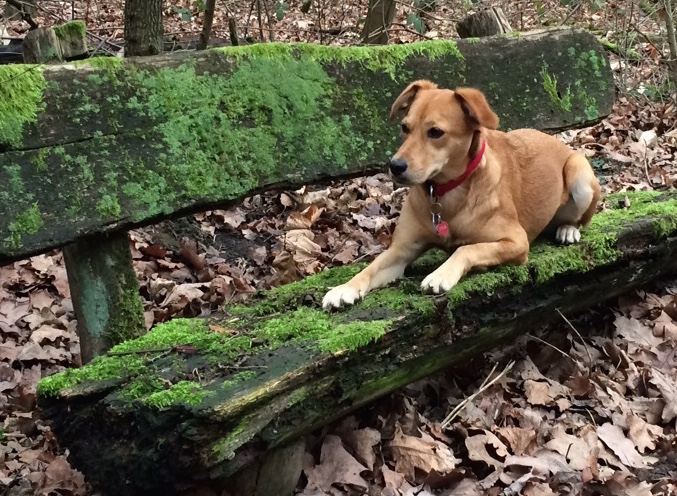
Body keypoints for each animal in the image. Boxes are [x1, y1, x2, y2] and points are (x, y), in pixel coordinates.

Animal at [320, 79, 600, 308]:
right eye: (404, 127)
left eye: (435, 132)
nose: (395, 166)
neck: (446, 194)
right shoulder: (401, 250)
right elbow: (371, 267)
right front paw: (344, 288)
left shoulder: (517, 241)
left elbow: (466, 249)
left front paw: (441, 274)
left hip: (579, 173)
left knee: (578, 218)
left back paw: (568, 229)